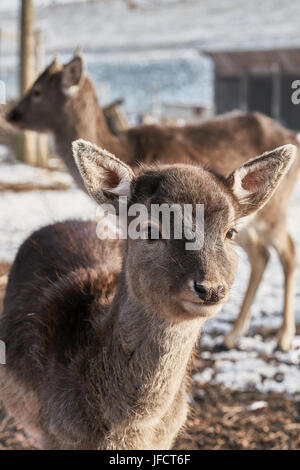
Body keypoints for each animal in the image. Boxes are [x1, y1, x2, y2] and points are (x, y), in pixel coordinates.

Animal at [5, 52, 298, 352]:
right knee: (261, 255)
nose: (11, 114)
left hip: (275, 209)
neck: (129, 150)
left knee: (287, 250)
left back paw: (283, 338)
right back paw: (233, 335)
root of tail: (292, 135)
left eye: (37, 91)